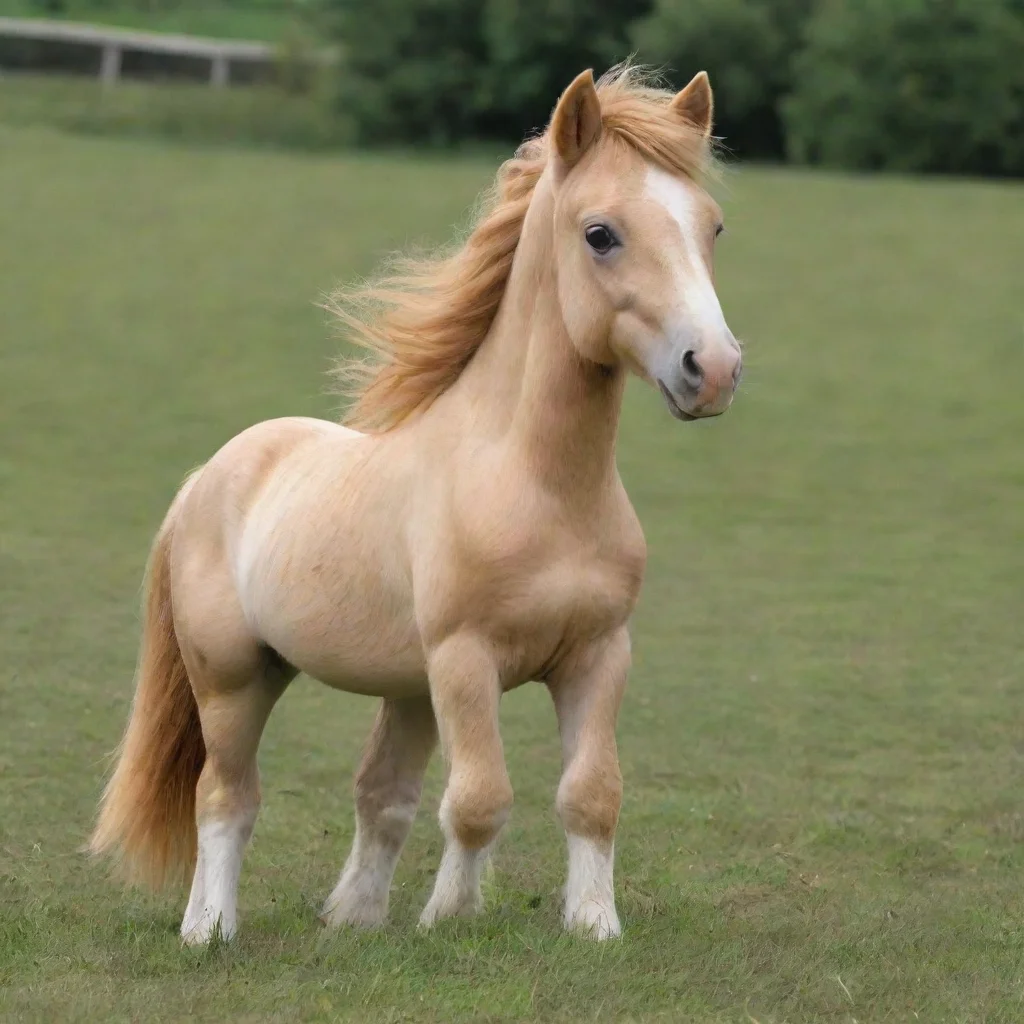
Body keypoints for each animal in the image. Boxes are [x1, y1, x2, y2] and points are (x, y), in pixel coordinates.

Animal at [89, 64, 742, 944]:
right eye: (601, 234)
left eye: (712, 227)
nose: (713, 370)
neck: (542, 489)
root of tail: (207, 477)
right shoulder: (466, 660)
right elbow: (479, 799)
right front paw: (451, 918)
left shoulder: (599, 654)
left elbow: (591, 794)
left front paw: (594, 925)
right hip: (234, 679)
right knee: (225, 797)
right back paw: (210, 930)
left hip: (402, 688)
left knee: (379, 795)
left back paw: (352, 918)